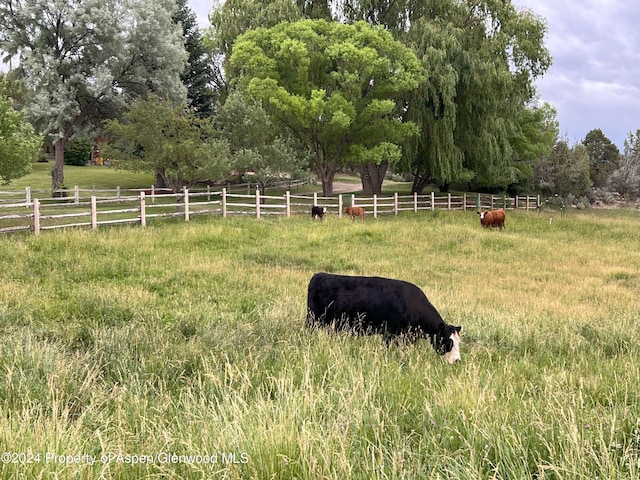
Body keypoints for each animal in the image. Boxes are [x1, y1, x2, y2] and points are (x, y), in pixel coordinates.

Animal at [304, 272, 460, 362]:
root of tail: (319, 275)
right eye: (448, 341)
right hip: (312, 320)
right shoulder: (390, 334)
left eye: (459, 342)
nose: (457, 360)